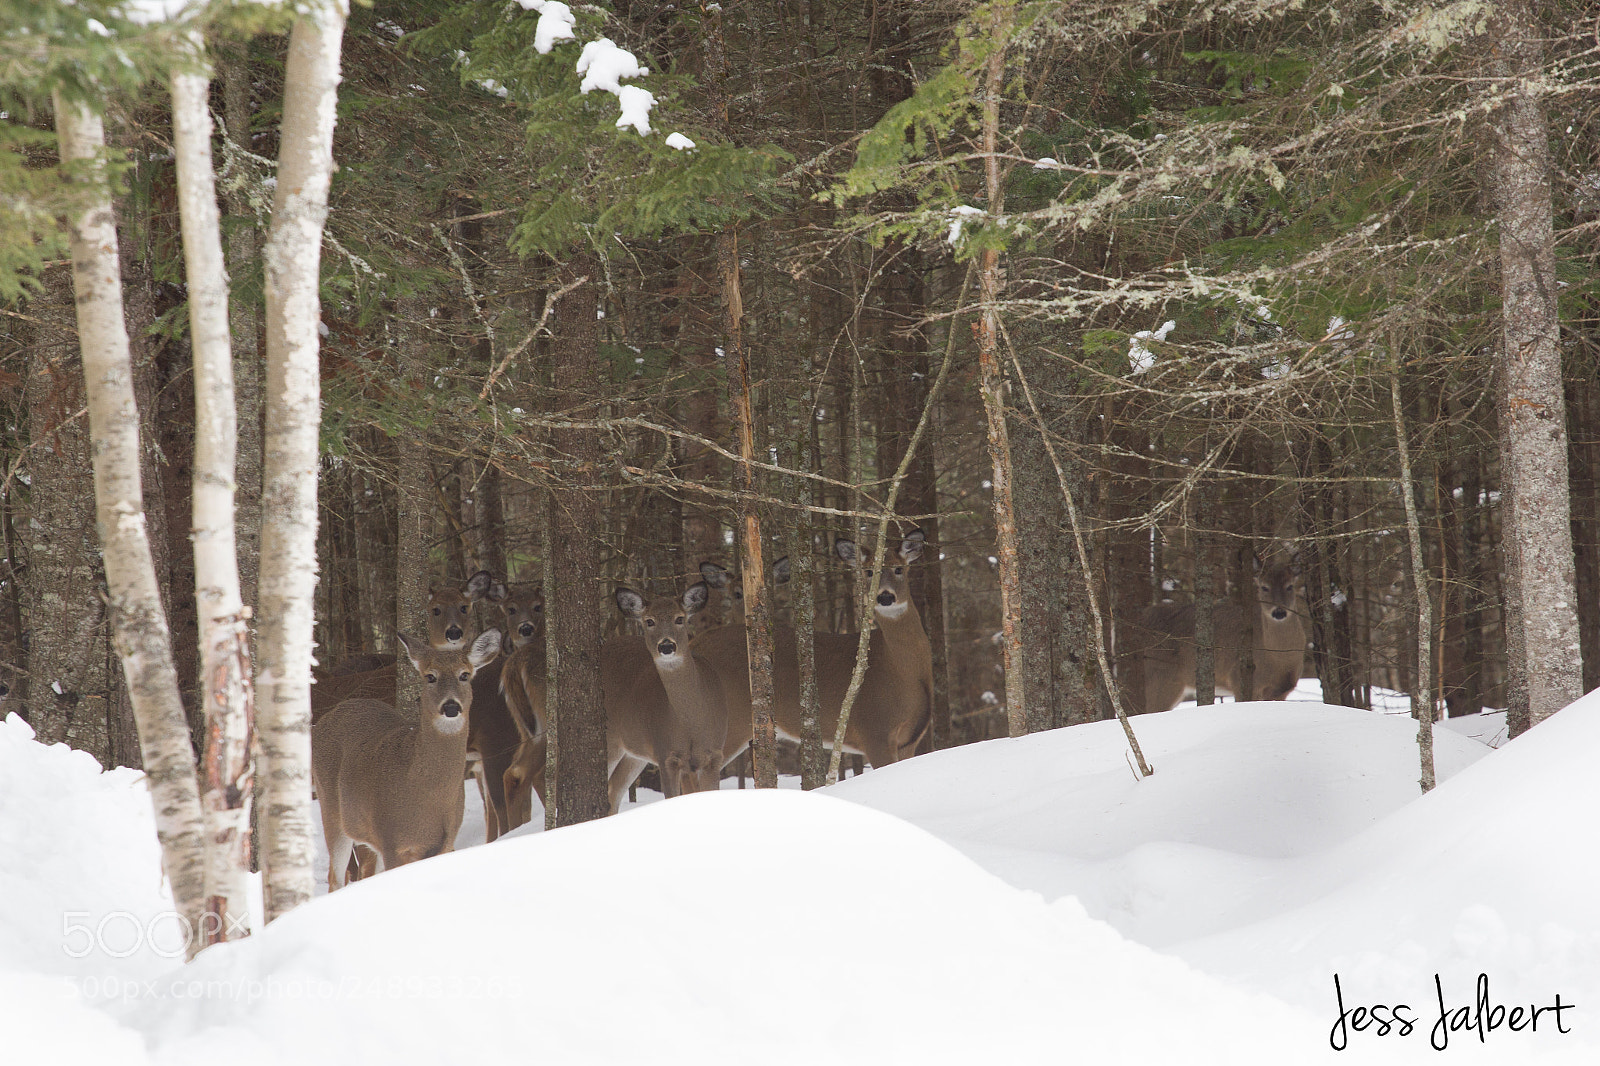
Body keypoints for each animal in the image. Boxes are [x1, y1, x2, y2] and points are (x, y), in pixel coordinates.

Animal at [312, 627, 501, 890]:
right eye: (430, 676)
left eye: (464, 675)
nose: (451, 707)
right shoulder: (392, 839)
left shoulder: (444, 843)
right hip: (332, 811)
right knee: (336, 878)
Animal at [693, 529, 934, 771]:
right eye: (868, 572)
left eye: (898, 568)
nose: (885, 596)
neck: (900, 670)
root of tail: (693, 645)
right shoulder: (875, 731)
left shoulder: (909, 740)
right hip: (728, 718)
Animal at [1134, 552, 1306, 714]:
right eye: (1264, 587)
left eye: (1290, 586)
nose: (1279, 612)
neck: (1279, 660)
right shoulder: (1239, 678)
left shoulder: (1283, 690)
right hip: (1158, 680)